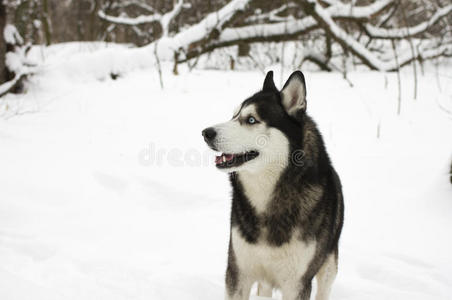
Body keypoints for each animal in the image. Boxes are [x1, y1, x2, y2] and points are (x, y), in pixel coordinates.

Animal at [201, 71, 342, 300]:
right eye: (233, 115)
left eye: (251, 119)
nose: (206, 133)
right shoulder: (238, 272)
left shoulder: (297, 283)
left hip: (329, 267)